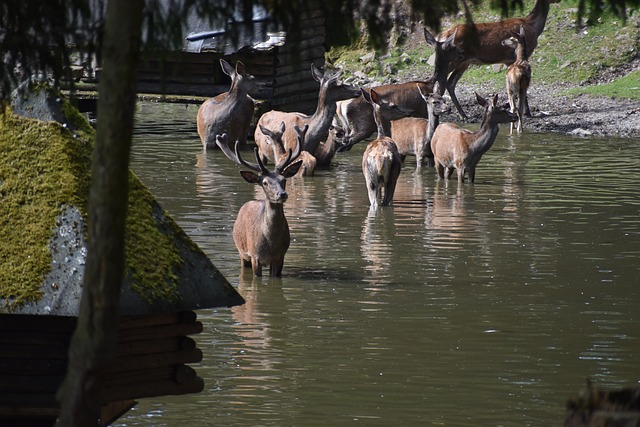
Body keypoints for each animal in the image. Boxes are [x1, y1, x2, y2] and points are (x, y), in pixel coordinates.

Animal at [215, 132, 302, 278]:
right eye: (265, 182)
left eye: (284, 180)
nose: (282, 194)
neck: (271, 245)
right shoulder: (255, 256)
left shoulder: (280, 257)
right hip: (242, 251)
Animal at [430, 0, 560, 119]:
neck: (533, 27)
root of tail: (442, 36)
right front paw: (527, 112)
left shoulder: (508, 61)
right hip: (454, 60)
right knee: (436, 79)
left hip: (464, 62)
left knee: (449, 82)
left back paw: (463, 115)